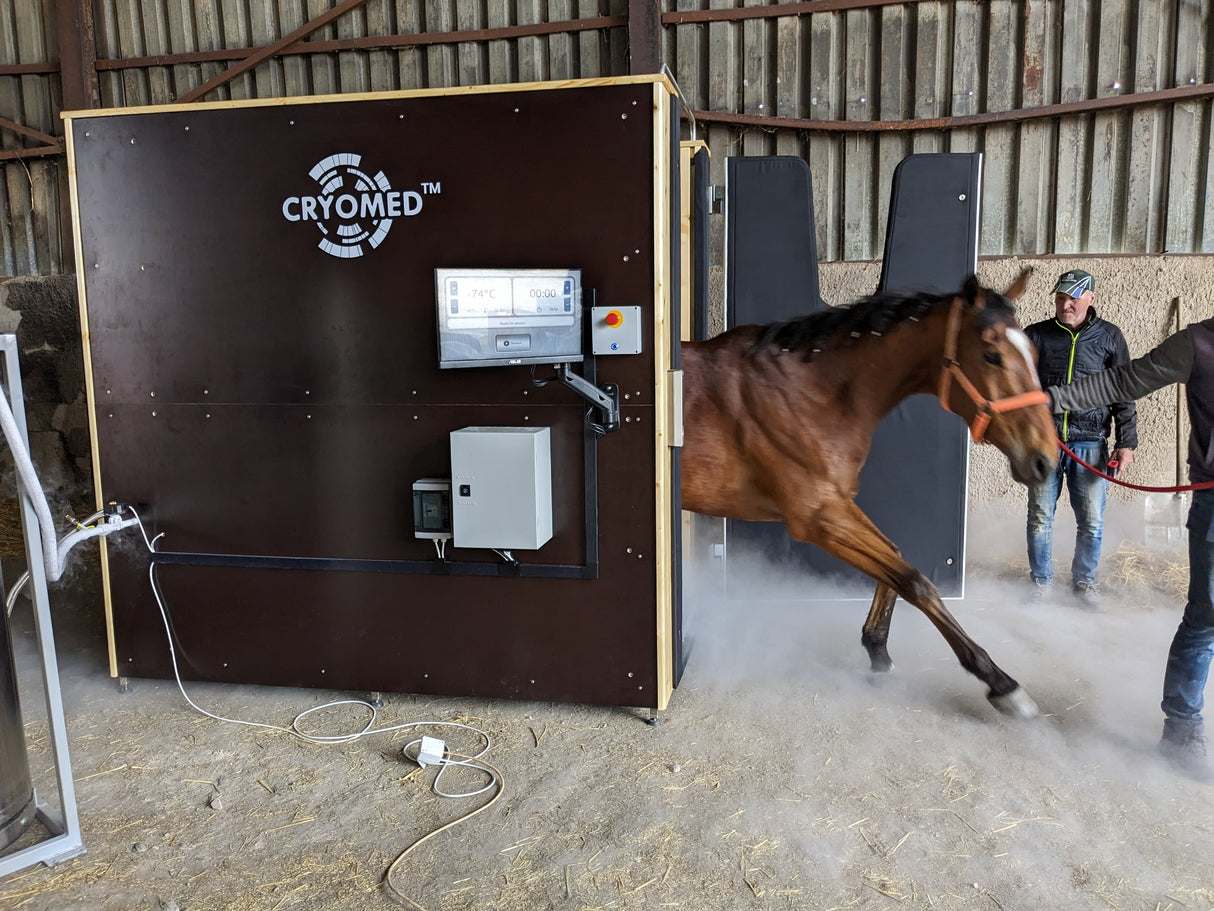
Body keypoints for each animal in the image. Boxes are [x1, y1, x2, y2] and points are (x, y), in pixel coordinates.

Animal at [680, 270, 1057, 718]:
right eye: (991, 355)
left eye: (1033, 352)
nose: (1046, 460)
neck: (810, 392)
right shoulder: (819, 517)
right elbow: (915, 581)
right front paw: (1000, 682)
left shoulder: (838, 505)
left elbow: (895, 559)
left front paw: (877, 649)